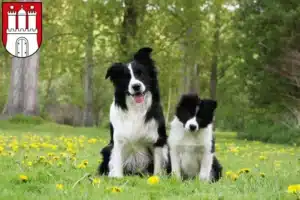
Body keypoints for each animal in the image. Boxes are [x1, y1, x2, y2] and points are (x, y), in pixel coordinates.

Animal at [98, 47, 170, 178]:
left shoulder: (158, 140)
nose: (136, 86)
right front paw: (117, 177)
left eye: (140, 74)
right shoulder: (118, 140)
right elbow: (117, 161)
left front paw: (156, 178)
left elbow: (158, 164)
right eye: (126, 77)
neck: (136, 109)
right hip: (107, 149)